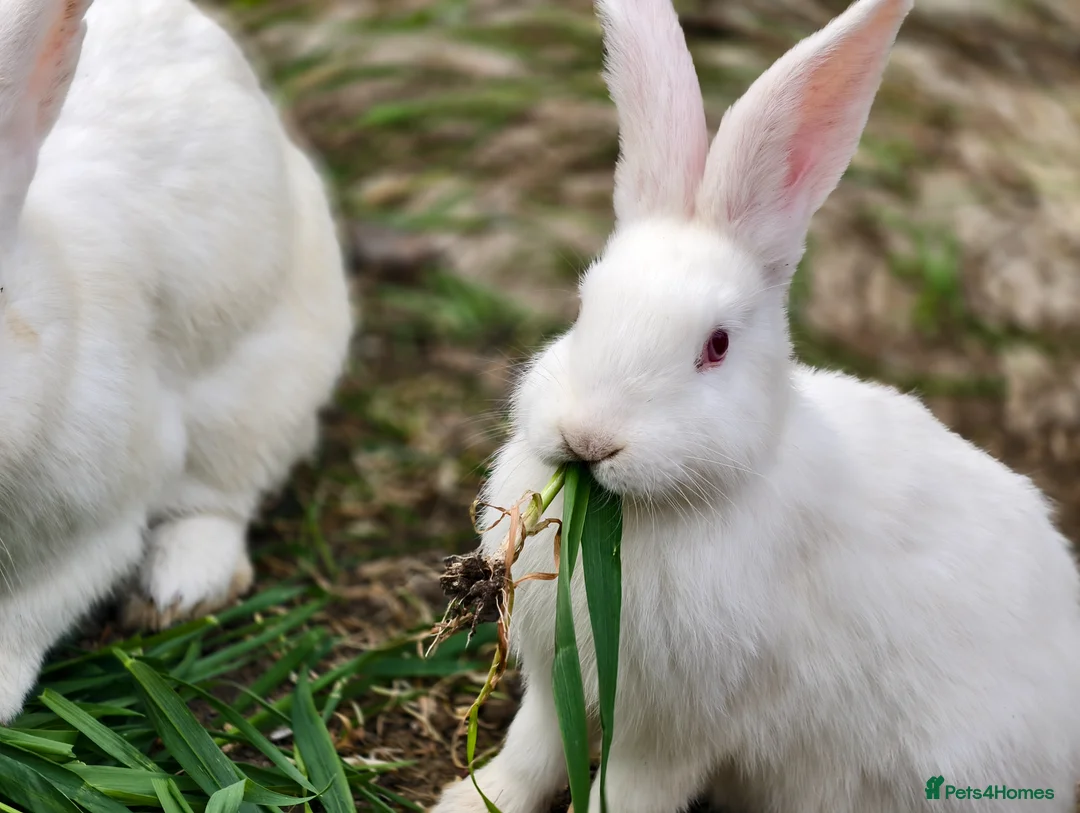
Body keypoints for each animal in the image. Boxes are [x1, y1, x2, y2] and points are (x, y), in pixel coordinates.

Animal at [431, 0, 1080, 811]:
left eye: (716, 345)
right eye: (583, 306)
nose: (589, 439)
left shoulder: (675, 726)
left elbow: (631, 787)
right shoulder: (557, 683)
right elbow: (531, 750)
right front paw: (469, 799)